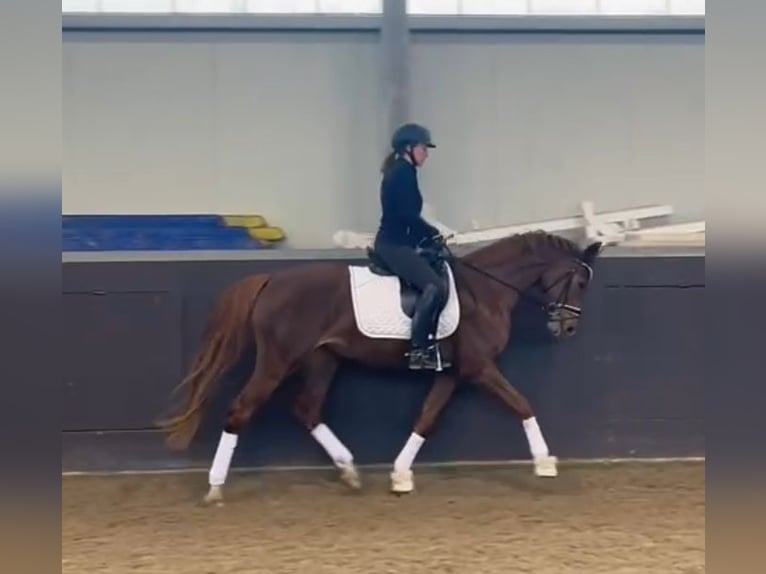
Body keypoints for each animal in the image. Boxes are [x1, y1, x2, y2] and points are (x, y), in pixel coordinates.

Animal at [159, 230, 604, 504]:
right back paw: (215, 489)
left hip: (322, 360)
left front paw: (400, 475)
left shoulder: (452, 372)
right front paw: (545, 463)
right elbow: (522, 404)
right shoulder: (479, 367)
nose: (567, 328)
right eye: (581, 283)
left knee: (307, 409)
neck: (486, 291)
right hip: (277, 361)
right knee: (240, 412)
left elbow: (426, 418)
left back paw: (349, 470)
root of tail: (271, 280)